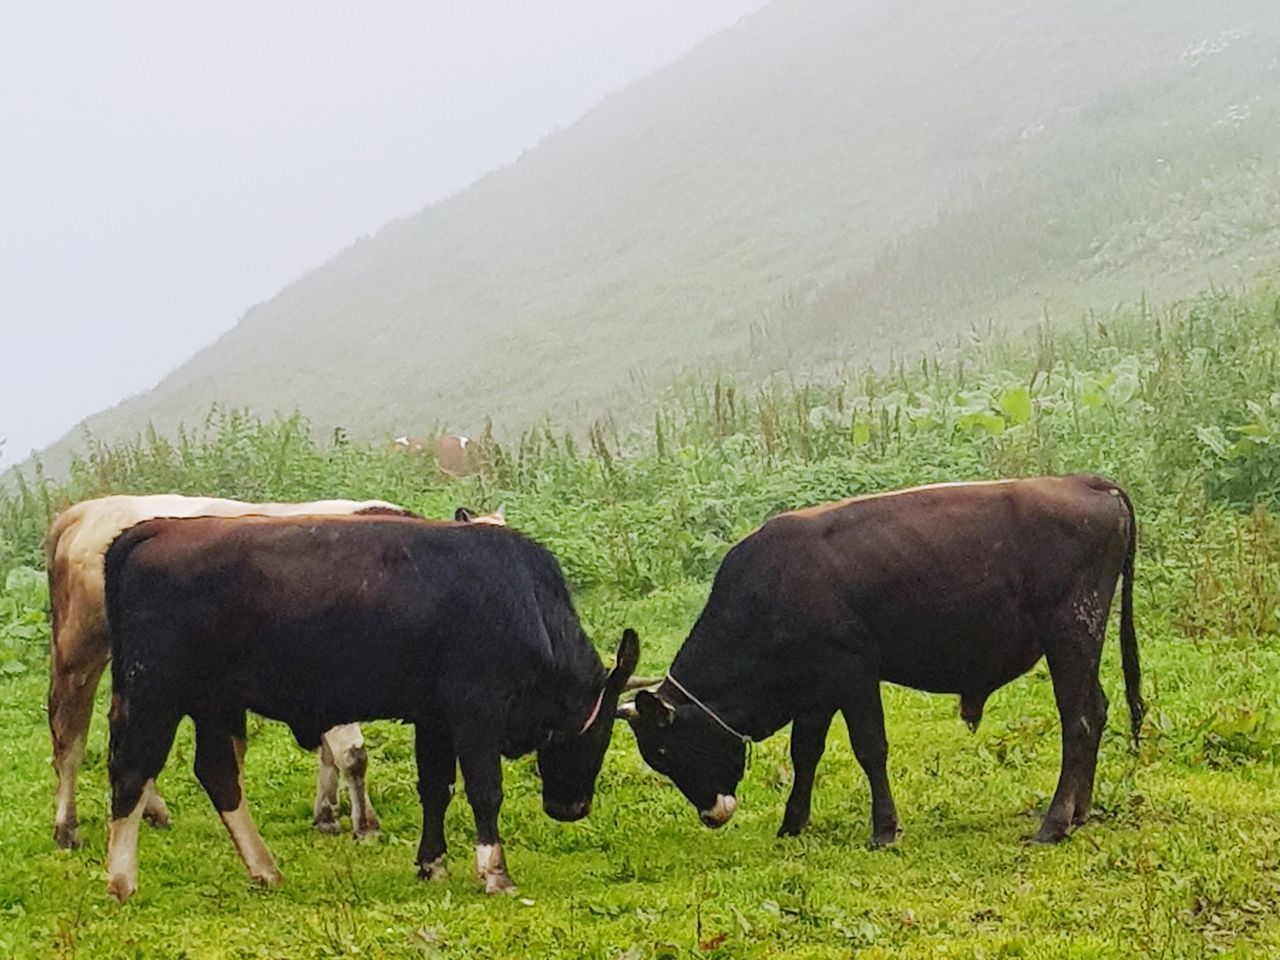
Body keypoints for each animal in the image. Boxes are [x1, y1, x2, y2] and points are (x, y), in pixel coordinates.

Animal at [101, 519, 640, 901]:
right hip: (156, 693)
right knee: (131, 771)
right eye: (601, 733)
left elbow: (436, 789)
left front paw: (432, 864)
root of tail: (156, 529)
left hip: (215, 703)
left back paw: (264, 869)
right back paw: (122, 880)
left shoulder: (434, 717)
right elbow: (485, 791)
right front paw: (495, 872)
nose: (573, 808)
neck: (524, 600)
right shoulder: (476, 710)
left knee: (217, 775)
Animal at [619, 476, 1141, 849]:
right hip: (1082, 642)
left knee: (1076, 722)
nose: (713, 816)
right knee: (1096, 711)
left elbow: (870, 749)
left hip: (1070, 632)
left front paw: (884, 830)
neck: (770, 589)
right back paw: (1081, 812)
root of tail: (1086, 482)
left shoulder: (853, 673)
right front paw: (792, 824)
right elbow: (805, 753)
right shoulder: (814, 689)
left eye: (664, 751)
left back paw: (1054, 824)